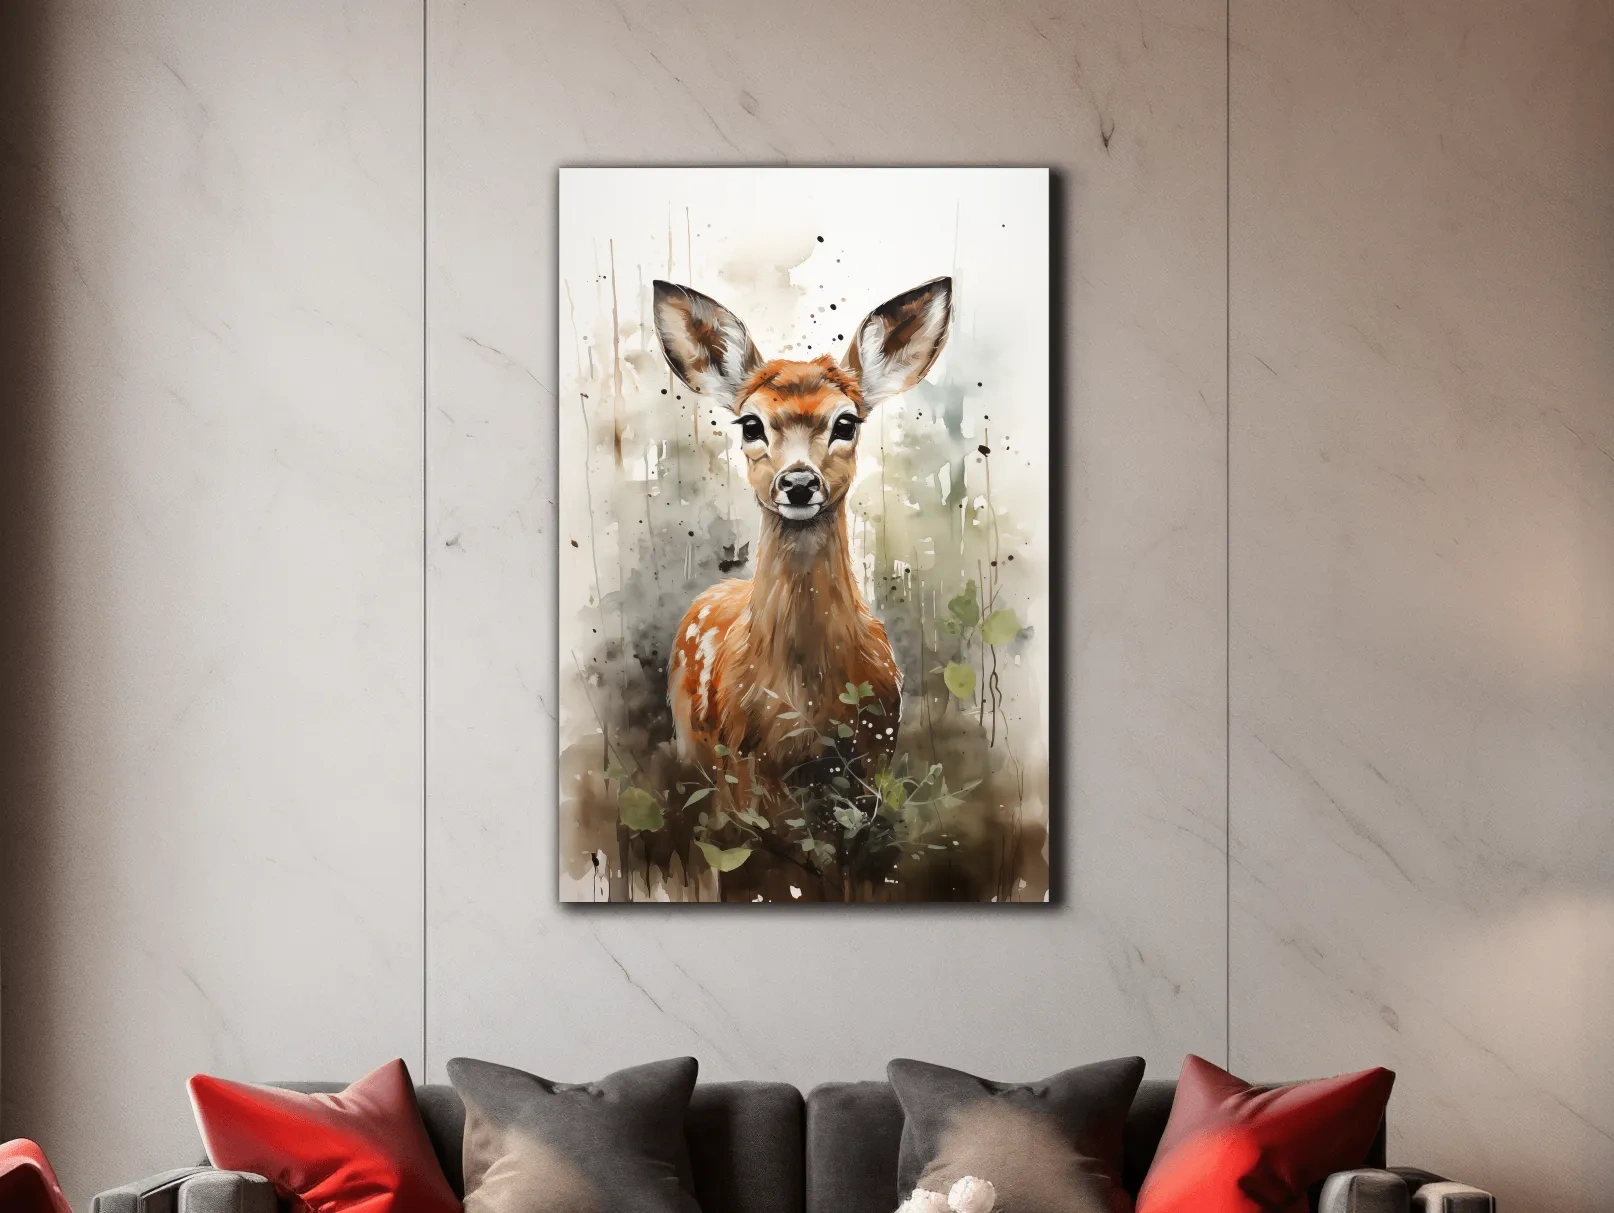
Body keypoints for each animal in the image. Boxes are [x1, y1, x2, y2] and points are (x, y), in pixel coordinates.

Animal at [653, 275, 952, 814]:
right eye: (750, 424)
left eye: (847, 422)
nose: (798, 483)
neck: (805, 706)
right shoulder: (742, 769)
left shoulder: (875, 756)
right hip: (693, 744)